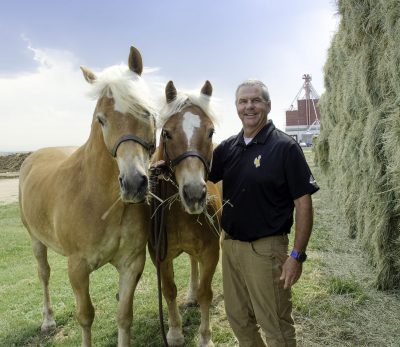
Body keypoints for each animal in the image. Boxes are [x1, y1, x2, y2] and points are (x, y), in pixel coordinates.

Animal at [19, 47, 156, 347]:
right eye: (101, 119)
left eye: (146, 112)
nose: (133, 184)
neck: (99, 200)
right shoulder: (78, 268)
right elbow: (85, 316)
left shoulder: (132, 263)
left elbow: (124, 316)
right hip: (36, 241)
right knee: (44, 274)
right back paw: (47, 320)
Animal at [149, 81, 220, 347]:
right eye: (167, 133)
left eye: (210, 132)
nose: (194, 194)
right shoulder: (159, 254)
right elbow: (169, 290)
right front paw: (175, 332)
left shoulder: (211, 250)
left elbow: (206, 292)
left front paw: (205, 337)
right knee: (192, 263)